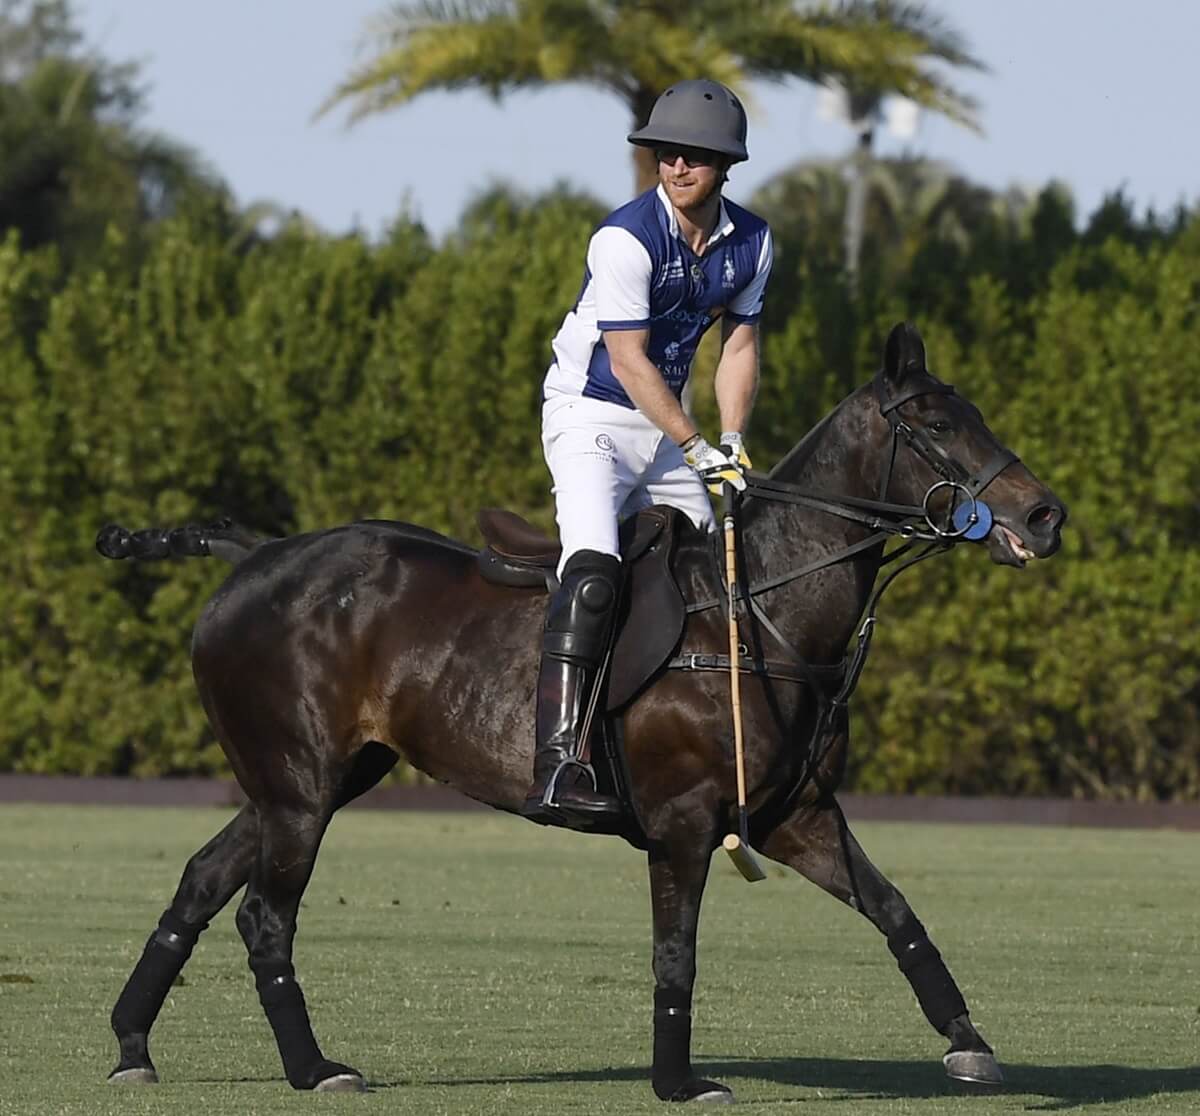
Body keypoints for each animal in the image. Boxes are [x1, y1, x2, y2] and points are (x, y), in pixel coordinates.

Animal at [98, 321, 1065, 1094]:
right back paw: (312, 1069)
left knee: (201, 882)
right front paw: (679, 1083)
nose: (1045, 516)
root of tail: (255, 556)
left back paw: (132, 1047)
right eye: (937, 425)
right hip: (298, 785)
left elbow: (899, 914)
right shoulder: (683, 821)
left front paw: (970, 1045)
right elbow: (676, 954)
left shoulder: (798, 815)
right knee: (265, 917)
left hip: (313, 779)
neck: (759, 610)